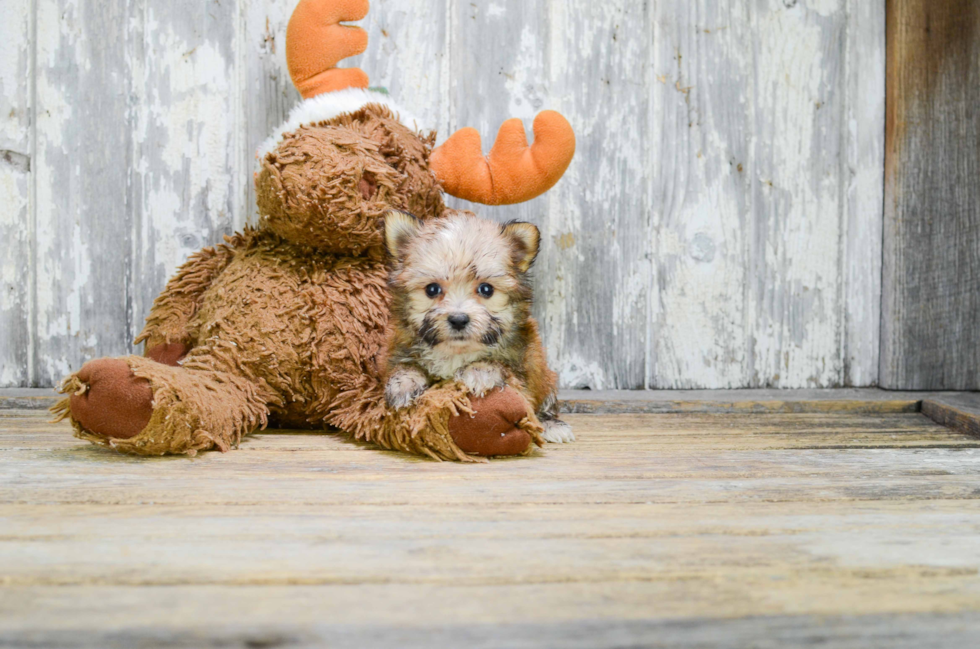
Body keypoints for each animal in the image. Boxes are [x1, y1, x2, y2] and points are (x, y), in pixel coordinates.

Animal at [382, 210, 576, 442]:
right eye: (432, 289)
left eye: (486, 289)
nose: (458, 319)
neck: (457, 352)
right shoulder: (397, 349)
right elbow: (406, 365)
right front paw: (403, 384)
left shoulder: (523, 366)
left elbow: (499, 366)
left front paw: (479, 372)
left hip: (545, 377)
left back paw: (551, 424)